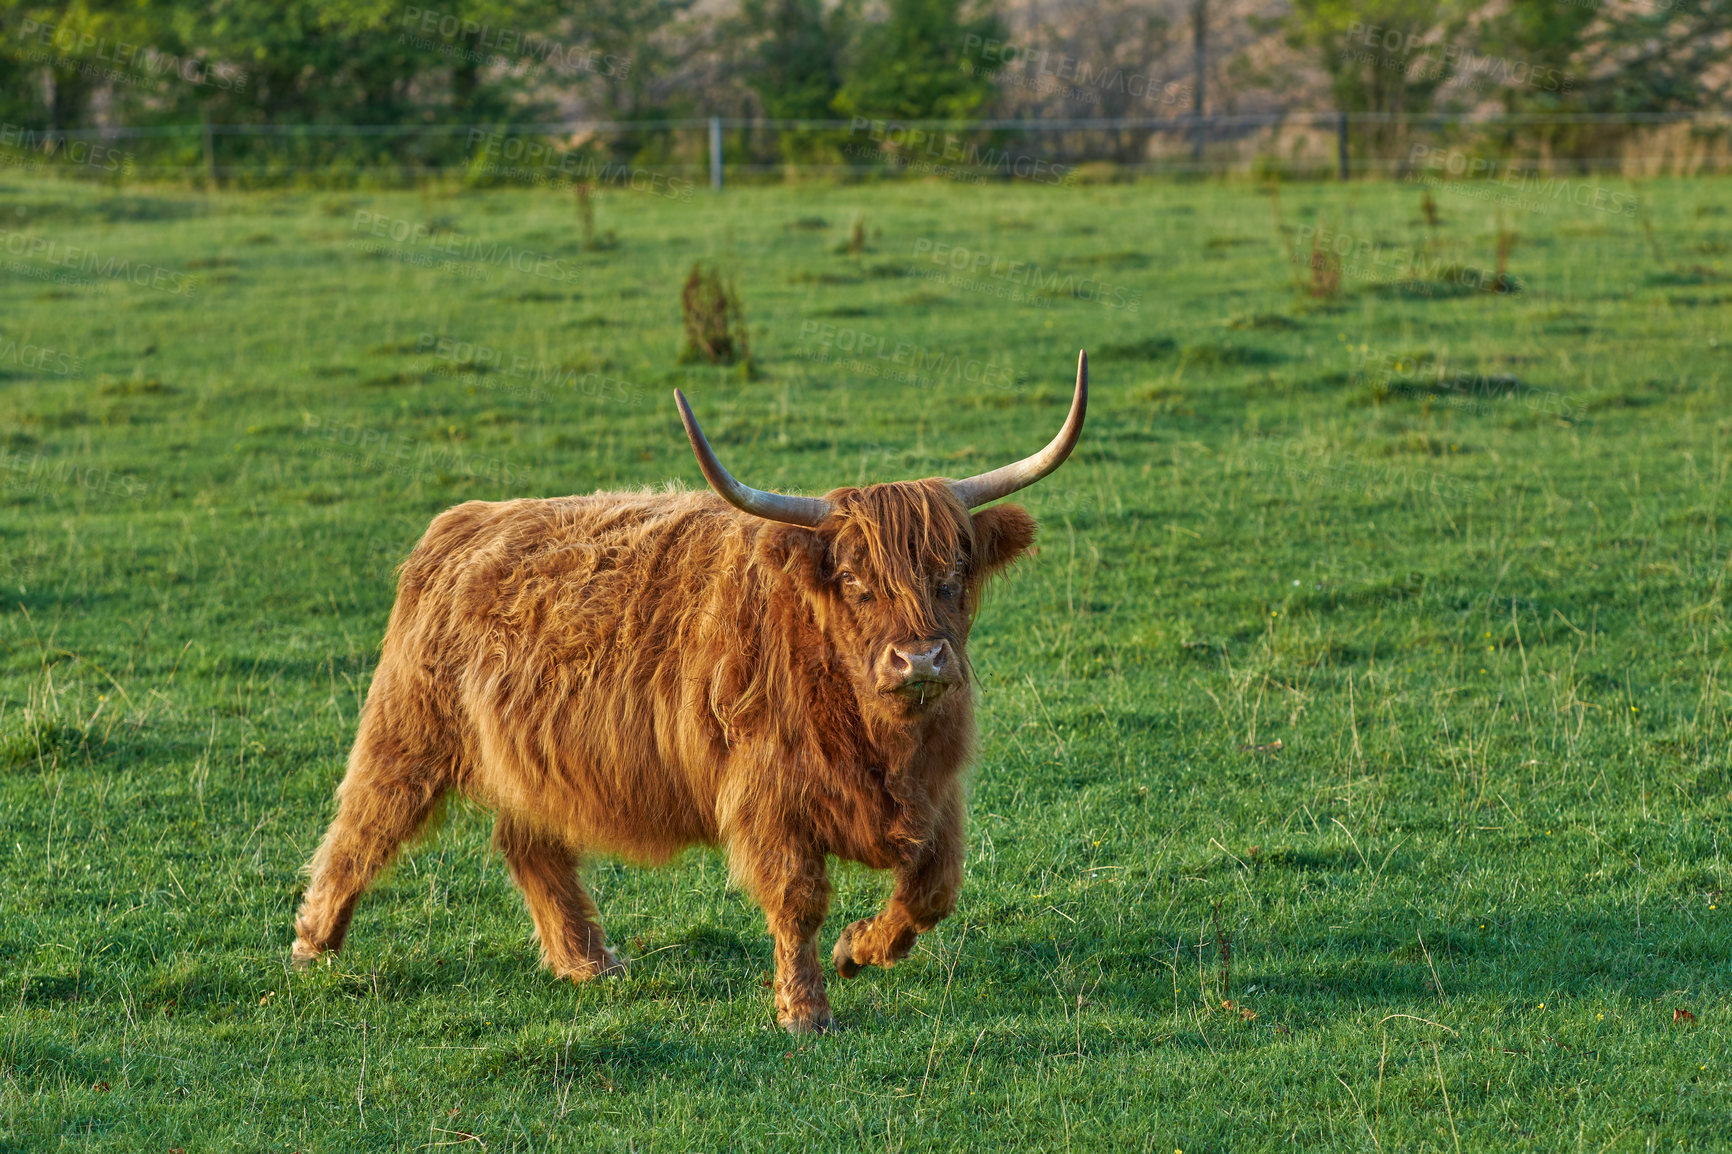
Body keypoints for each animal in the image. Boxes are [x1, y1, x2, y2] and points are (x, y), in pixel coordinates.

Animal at [290, 348, 1087, 1025]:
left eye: (952, 573)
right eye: (856, 582)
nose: (920, 661)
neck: (879, 740)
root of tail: (463, 523)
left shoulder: (938, 792)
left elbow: (933, 890)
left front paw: (859, 951)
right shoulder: (769, 794)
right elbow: (798, 899)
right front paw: (805, 1009)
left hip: (528, 757)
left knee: (529, 843)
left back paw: (587, 962)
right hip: (409, 730)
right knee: (363, 825)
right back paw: (312, 941)